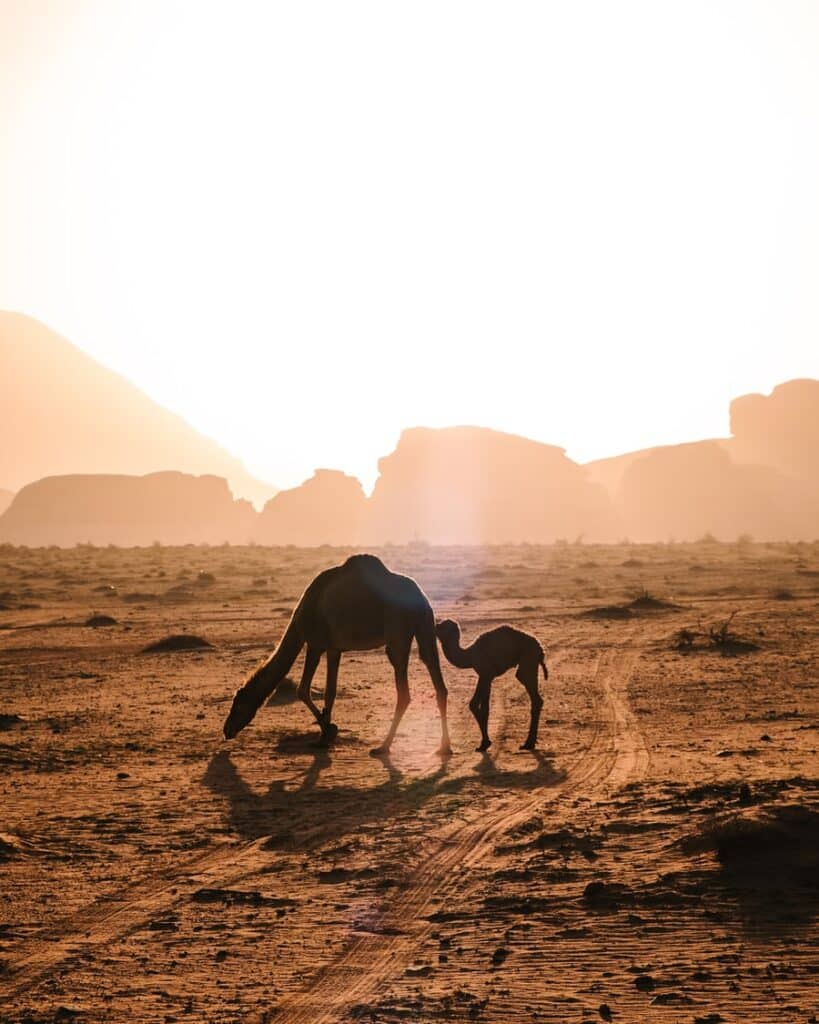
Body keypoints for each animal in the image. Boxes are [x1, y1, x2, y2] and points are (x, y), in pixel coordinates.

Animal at [222, 557, 454, 757]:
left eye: (238, 703)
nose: (226, 730)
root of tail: (421, 598)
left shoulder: (316, 643)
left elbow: (303, 690)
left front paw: (327, 733)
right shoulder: (335, 649)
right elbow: (330, 691)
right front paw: (327, 733)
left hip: (397, 633)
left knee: (404, 692)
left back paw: (383, 747)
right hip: (425, 627)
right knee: (438, 681)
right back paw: (444, 747)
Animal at [438, 614, 548, 753]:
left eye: (443, 626)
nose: (435, 626)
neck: (469, 655)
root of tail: (541, 650)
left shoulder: (485, 673)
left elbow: (479, 706)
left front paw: (484, 743)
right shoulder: (485, 676)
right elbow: (478, 705)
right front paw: (485, 743)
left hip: (528, 659)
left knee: (531, 690)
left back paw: (528, 743)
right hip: (531, 661)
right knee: (536, 698)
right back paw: (530, 743)